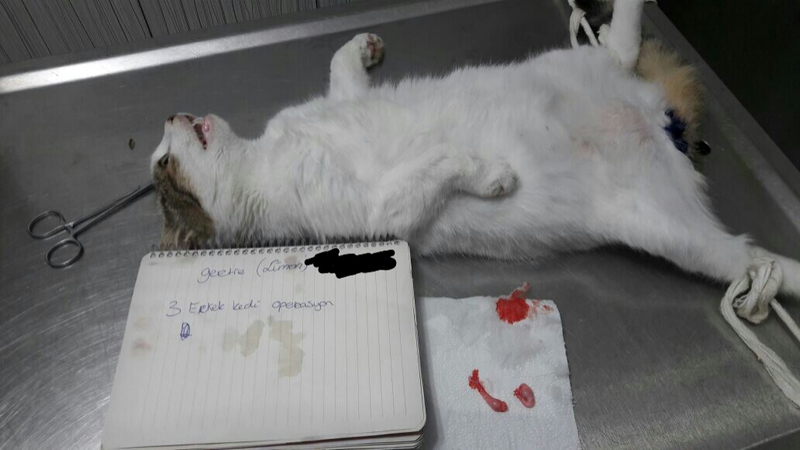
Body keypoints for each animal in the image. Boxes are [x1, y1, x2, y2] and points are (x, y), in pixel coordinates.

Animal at [150, 0, 800, 299]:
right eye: (162, 162)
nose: (170, 113)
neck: (264, 153)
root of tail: (654, 123)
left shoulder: (342, 99)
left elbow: (339, 63)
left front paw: (364, 45)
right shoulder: (382, 212)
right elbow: (443, 159)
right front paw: (494, 176)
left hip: (574, 63)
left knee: (619, 43)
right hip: (678, 236)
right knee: (753, 262)